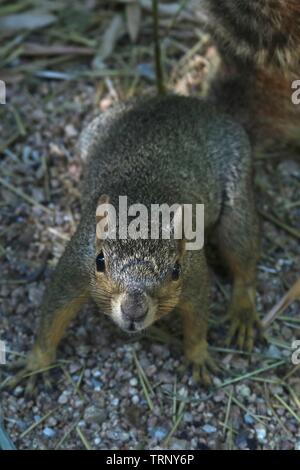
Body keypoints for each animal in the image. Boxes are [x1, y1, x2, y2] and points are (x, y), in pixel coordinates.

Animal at [2, 95, 260, 392]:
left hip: (236, 198)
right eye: (100, 261)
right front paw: (37, 362)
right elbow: (54, 310)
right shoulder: (77, 264)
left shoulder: (194, 274)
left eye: (175, 270)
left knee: (243, 258)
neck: (143, 211)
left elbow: (197, 316)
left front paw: (198, 355)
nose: (133, 312)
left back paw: (243, 311)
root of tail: (181, 101)